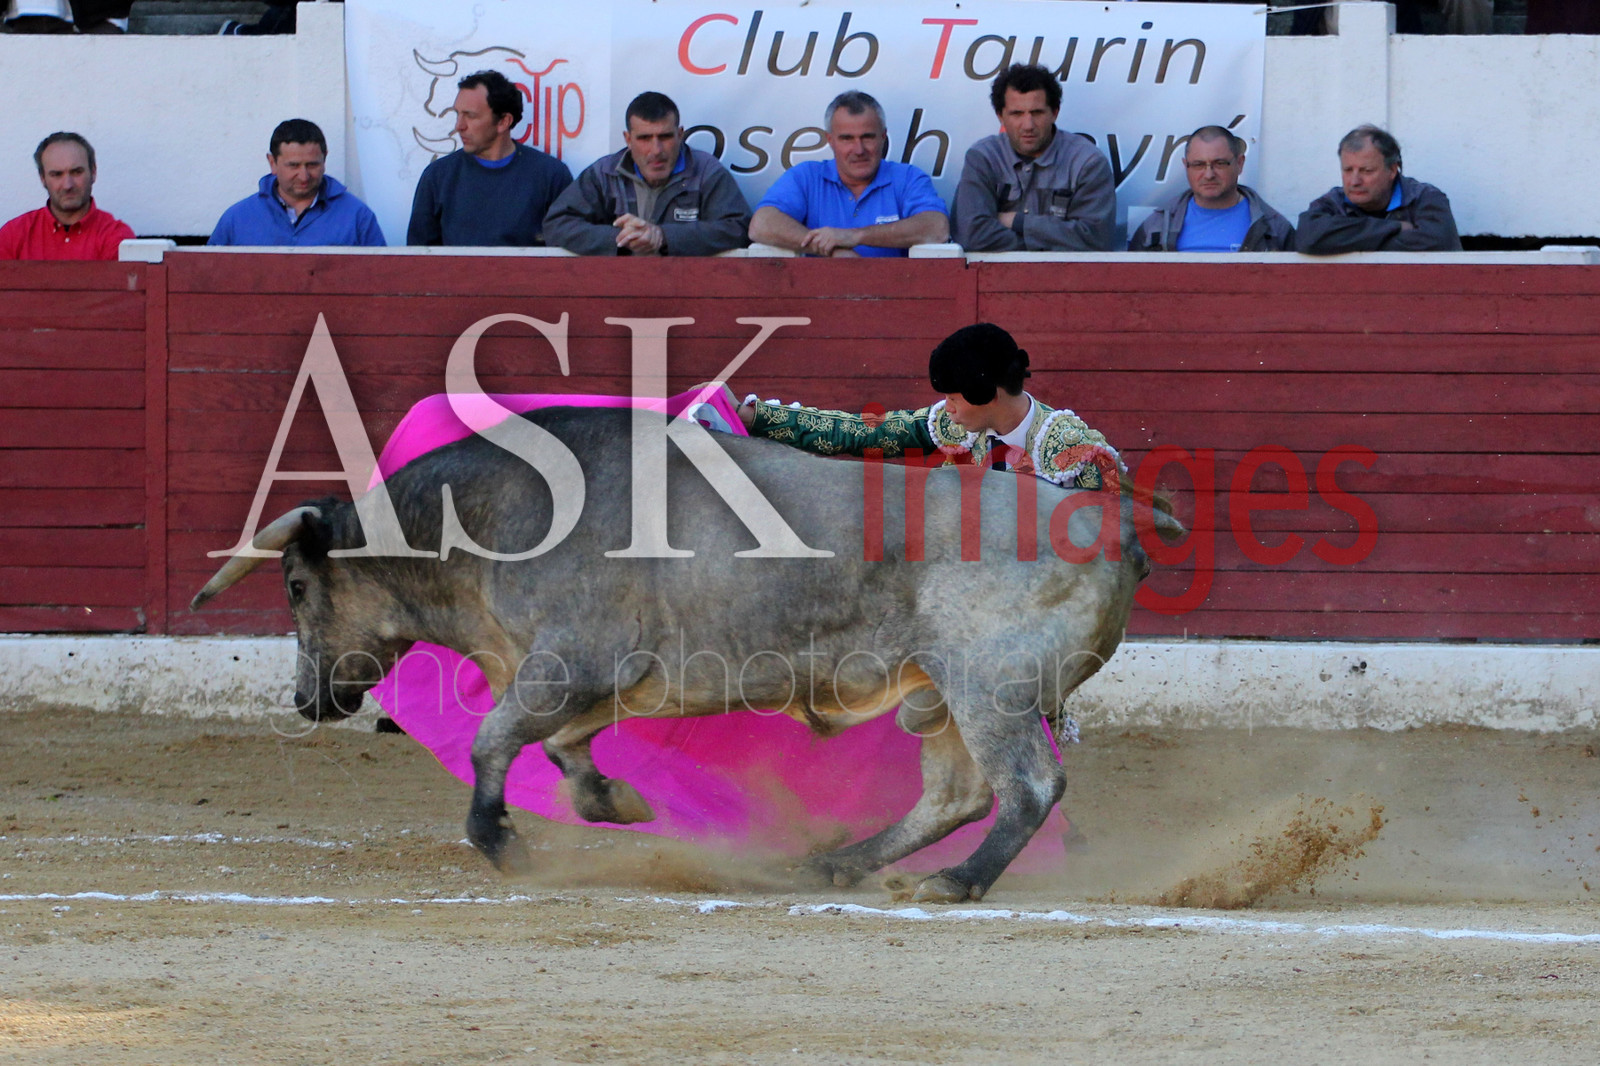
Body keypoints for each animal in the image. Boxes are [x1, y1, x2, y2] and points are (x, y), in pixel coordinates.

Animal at [191, 405, 1181, 903]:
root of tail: (1113, 519)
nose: (307, 701)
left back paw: (953, 884)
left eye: (293, 587)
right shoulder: (581, 681)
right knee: (956, 794)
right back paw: (836, 865)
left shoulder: (569, 662)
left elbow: (490, 742)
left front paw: (502, 842)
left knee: (1028, 787)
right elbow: (559, 751)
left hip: (990, 685)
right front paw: (619, 802)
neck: (483, 520)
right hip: (935, 690)